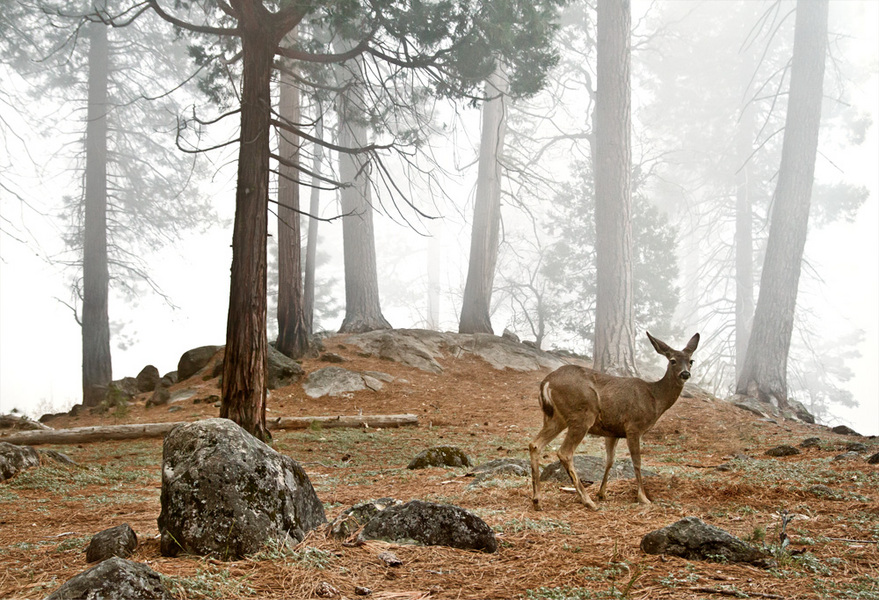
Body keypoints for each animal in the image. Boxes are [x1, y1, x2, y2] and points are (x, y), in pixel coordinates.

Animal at [528, 332, 700, 510]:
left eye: (691, 361)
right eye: (672, 360)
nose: (685, 374)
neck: (655, 398)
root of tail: (546, 382)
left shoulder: (612, 432)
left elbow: (610, 461)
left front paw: (602, 493)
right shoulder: (634, 427)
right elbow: (637, 462)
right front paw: (643, 497)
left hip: (554, 418)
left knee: (535, 444)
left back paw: (537, 500)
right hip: (582, 415)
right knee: (564, 452)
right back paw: (587, 501)